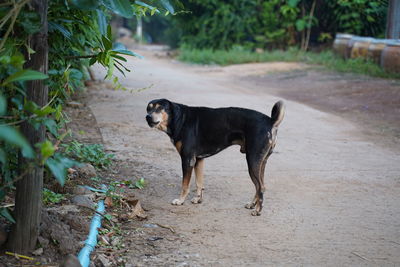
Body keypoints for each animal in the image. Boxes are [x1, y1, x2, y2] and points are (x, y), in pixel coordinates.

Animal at [146, 99, 284, 217]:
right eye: (148, 108)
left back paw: (258, 210)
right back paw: (252, 204)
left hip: (252, 161)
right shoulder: (198, 160)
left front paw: (180, 201)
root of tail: (270, 121)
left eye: (160, 108)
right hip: (260, 163)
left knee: (260, 187)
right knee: (260, 186)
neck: (180, 118)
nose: (148, 117)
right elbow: (199, 183)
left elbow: (185, 184)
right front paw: (198, 199)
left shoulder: (187, 160)